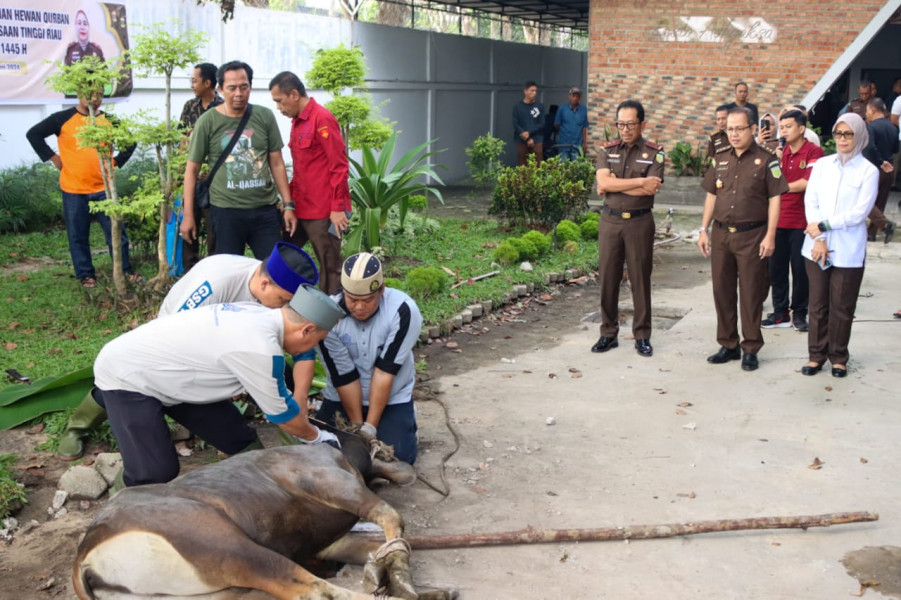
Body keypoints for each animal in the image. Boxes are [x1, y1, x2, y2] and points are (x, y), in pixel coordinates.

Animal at [73, 428, 454, 596]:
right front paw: (395, 578)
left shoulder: (325, 543)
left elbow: (385, 546)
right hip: (235, 549)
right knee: (313, 589)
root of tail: (85, 560)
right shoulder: (338, 488)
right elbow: (393, 519)